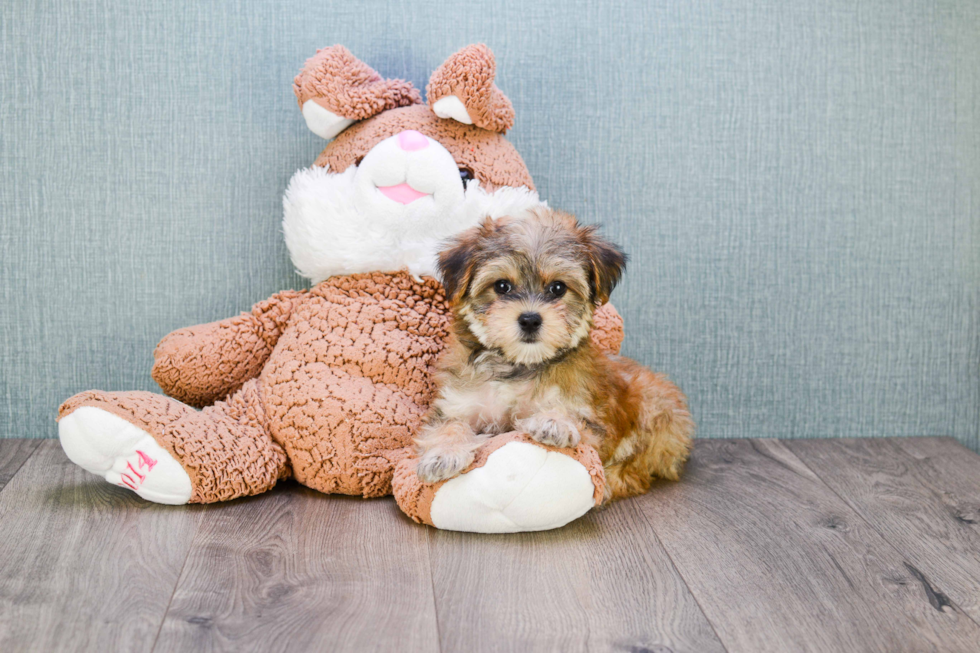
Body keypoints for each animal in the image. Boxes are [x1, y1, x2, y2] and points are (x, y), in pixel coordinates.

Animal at [418, 206, 692, 502]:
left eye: (558, 288)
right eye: (502, 286)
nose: (529, 319)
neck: (518, 365)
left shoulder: (594, 420)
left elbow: (578, 422)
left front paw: (554, 421)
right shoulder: (456, 403)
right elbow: (447, 425)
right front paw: (443, 453)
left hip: (657, 408)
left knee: (637, 469)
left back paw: (609, 482)